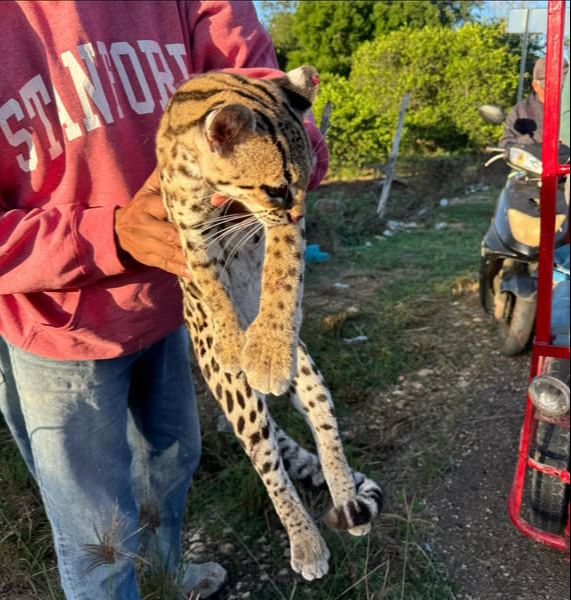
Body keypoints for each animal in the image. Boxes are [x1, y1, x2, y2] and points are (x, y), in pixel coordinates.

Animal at [155, 65, 384, 580]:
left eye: (306, 182)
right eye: (276, 188)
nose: (301, 209)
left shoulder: (280, 229)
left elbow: (281, 273)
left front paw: (265, 347)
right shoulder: (187, 229)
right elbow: (209, 283)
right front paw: (228, 338)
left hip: (308, 370)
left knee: (325, 430)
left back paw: (348, 502)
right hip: (237, 400)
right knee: (270, 466)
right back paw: (307, 541)